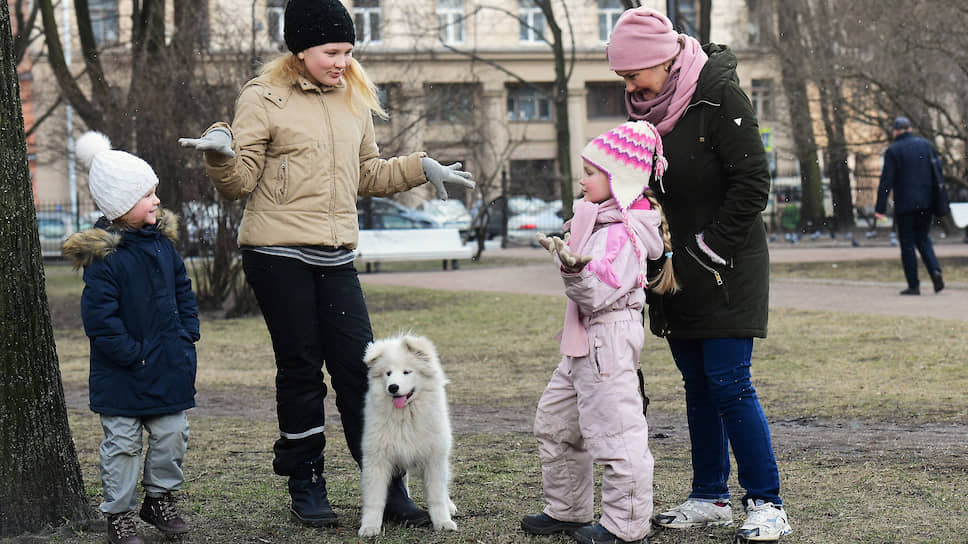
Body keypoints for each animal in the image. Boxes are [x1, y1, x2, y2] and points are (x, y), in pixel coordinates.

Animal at [360, 332, 458, 536]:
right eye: (388, 373)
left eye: (407, 372)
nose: (393, 387)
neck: (405, 417)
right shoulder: (376, 459)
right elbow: (374, 499)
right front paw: (370, 526)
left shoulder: (433, 458)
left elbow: (436, 495)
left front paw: (443, 522)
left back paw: (449, 506)